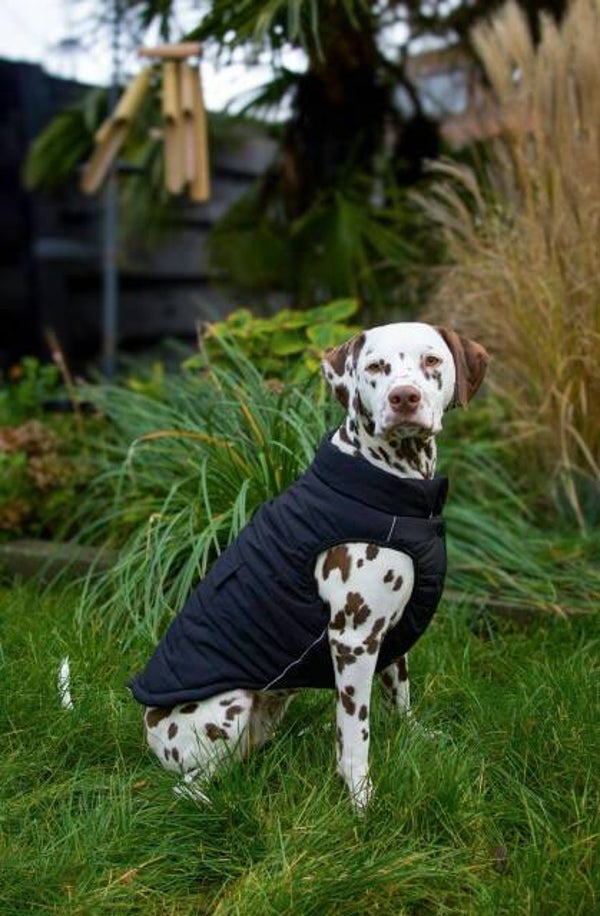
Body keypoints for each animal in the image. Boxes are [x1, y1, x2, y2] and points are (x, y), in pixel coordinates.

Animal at [129, 322, 489, 811]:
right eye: (376, 367)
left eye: (431, 360)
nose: (404, 398)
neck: (389, 484)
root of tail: (148, 733)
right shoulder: (353, 640)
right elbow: (355, 732)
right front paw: (359, 795)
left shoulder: (392, 632)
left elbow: (401, 696)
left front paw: (413, 736)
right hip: (229, 708)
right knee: (190, 785)